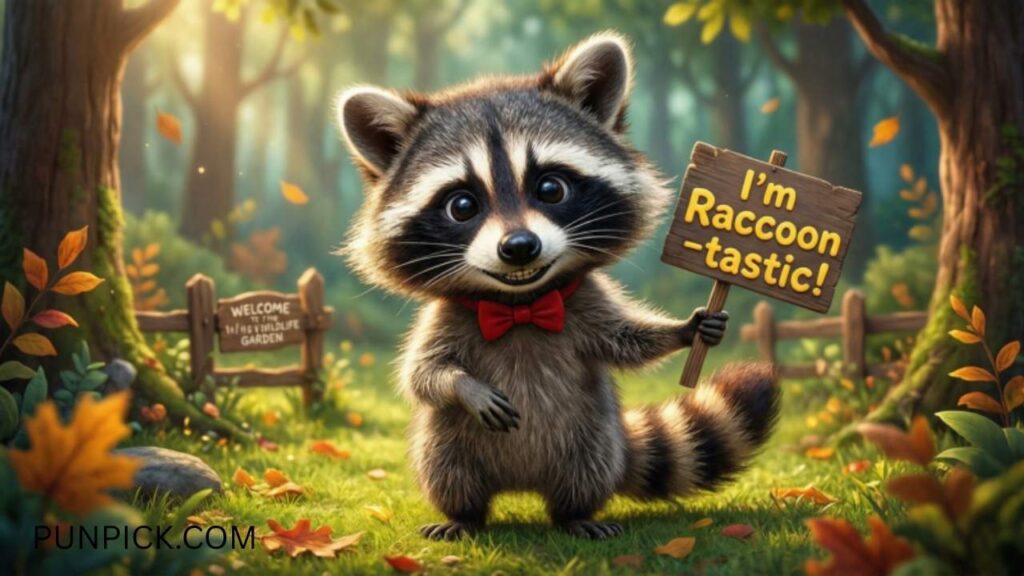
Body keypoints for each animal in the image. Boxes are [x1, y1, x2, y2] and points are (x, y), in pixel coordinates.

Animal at [334, 31, 779, 540]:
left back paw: (576, 513)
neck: (520, 304)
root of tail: (522, 483)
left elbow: (628, 340)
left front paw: (684, 330)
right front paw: (464, 386)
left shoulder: (586, 301)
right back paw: (463, 514)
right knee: (446, 466)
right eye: (462, 205)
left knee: (586, 468)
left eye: (550, 189)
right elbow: (423, 373)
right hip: (447, 442)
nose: (519, 247)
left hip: (593, 437)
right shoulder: (447, 315)